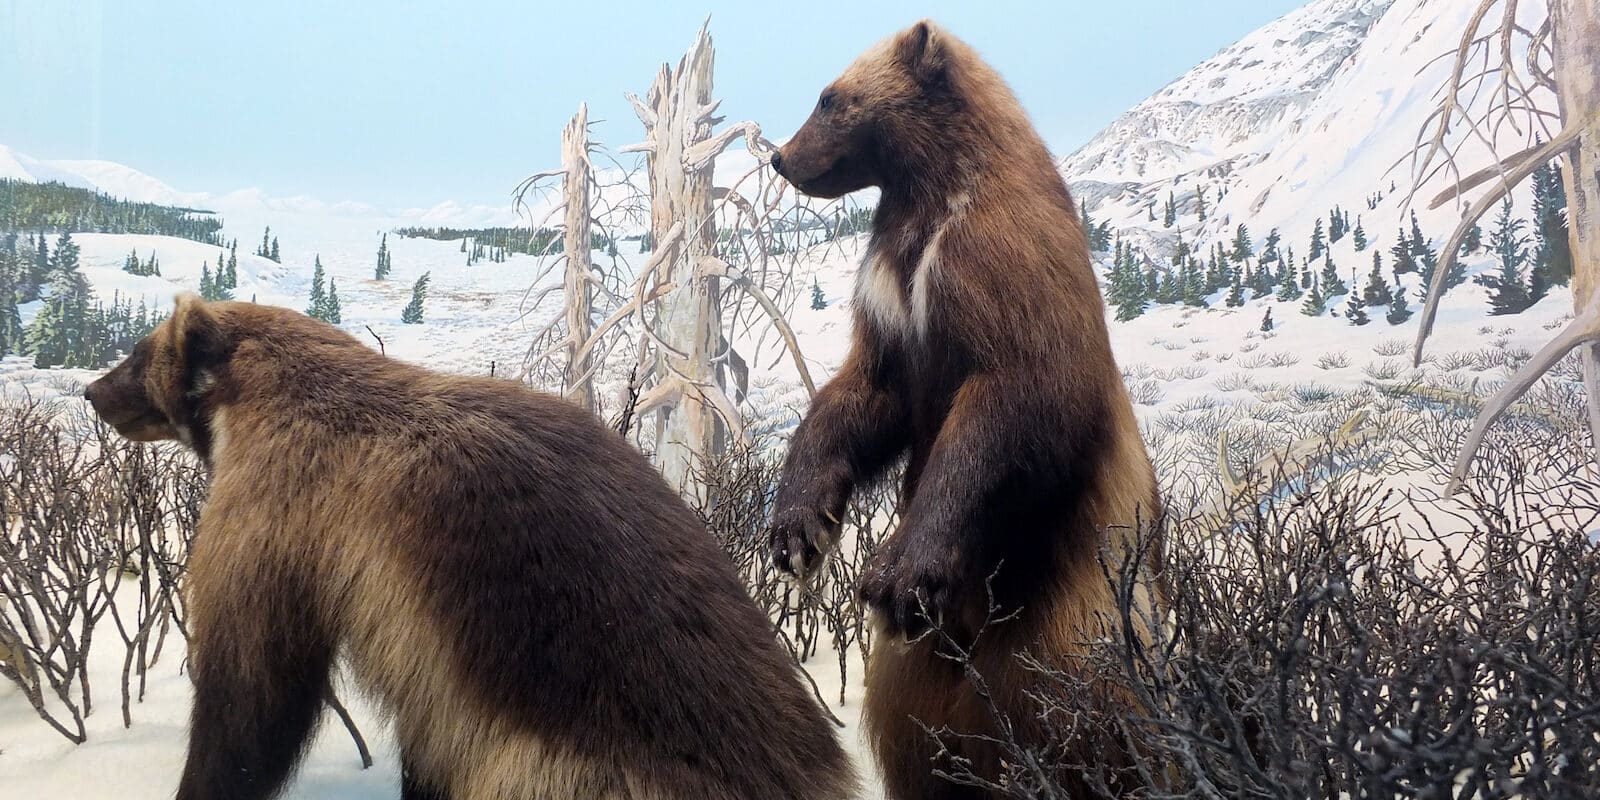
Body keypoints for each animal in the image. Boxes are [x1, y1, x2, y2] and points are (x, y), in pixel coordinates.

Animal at [764, 18, 1158, 800]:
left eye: (830, 98)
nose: (780, 155)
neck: (930, 201)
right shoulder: (891, 292)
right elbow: (864, 394)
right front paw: (796, 526)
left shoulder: (1000, 263)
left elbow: (1011, 404)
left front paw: (900, 571)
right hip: (924, 672)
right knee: (916, 732)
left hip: (1077, 612)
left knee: (1088, 715)